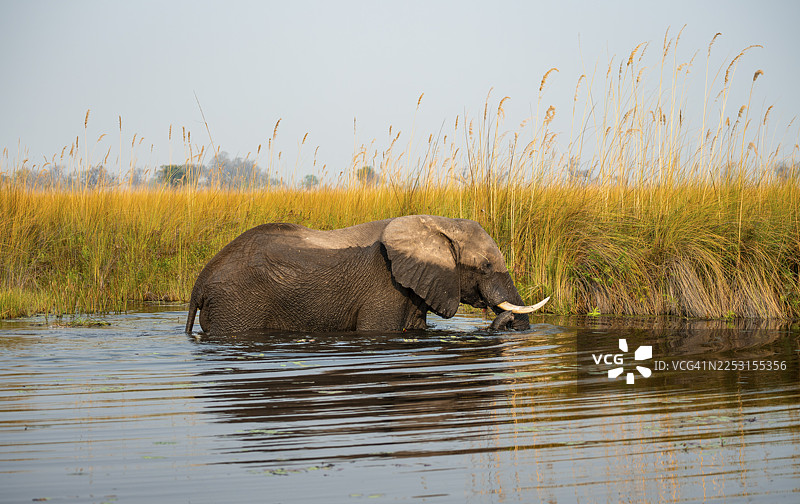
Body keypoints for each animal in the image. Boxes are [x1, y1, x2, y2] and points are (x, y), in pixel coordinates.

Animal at [184, 215, 549, 335]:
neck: (436, 223)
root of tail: (199, 284)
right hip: (236, 305)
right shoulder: (385, 288)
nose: (505, 319)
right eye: (485, 267)